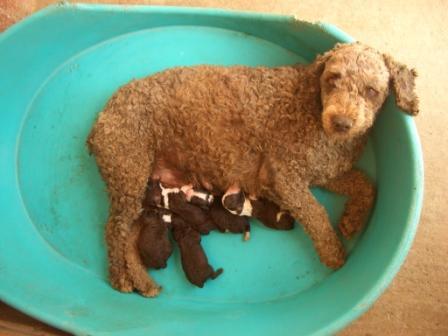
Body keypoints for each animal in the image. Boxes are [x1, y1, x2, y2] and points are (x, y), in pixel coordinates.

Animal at [88, 42, 420, 296]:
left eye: (371, 90)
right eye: (333, 78)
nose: (340, 122)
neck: (313, 110)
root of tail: (102, 117)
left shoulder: (326, 172)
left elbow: (365, 183)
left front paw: (352, 220)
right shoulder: (286, 179)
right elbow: (316, 213)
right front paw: (332, 250)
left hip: (138, 186)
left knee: (128, 238)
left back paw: (143, 282)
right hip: (129, 172)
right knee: (114, 233)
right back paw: (120, 277)